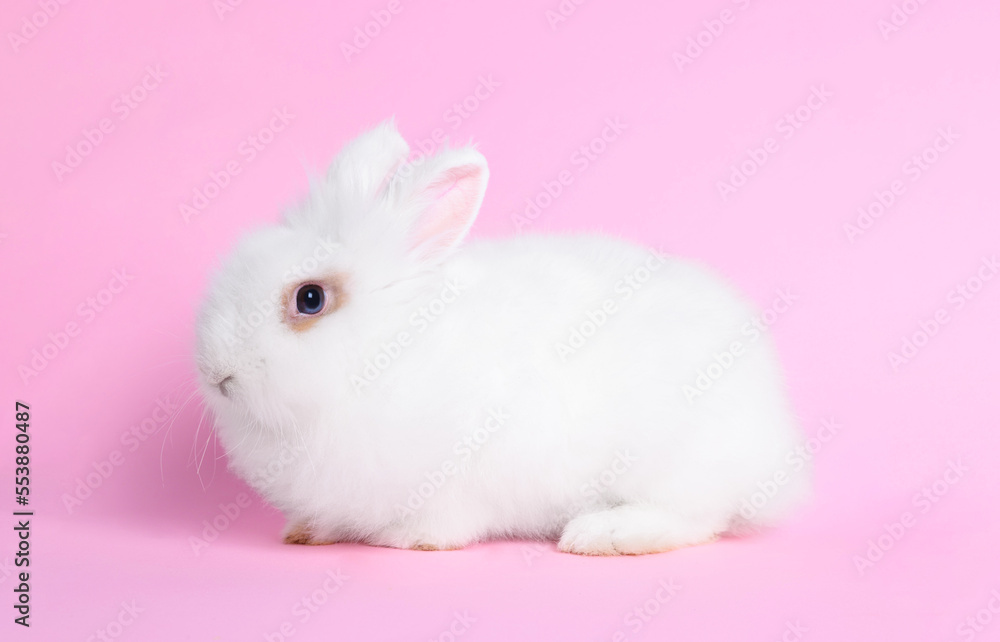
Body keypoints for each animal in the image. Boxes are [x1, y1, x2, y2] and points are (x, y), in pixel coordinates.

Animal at [195, 119, 810, 555]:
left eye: (310, 299)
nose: (213, 371)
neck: (383, 353)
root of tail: (775, 442)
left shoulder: (460, 472)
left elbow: (441, 518)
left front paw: (409, 539)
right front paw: (306, 531)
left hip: (674, 466)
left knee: (696, 519)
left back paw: (600, 536)